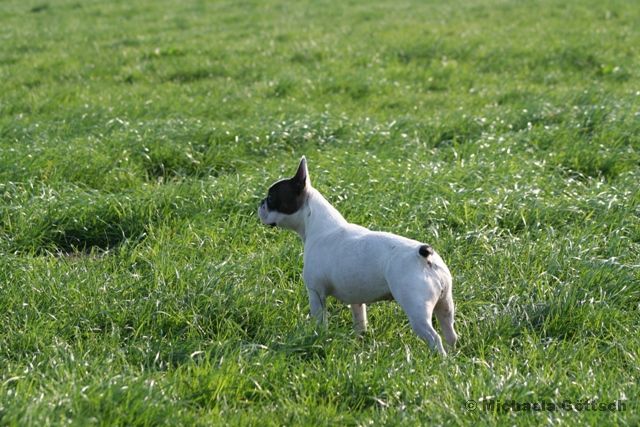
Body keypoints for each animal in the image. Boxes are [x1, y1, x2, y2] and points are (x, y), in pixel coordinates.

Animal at [258, 156, 458, 354]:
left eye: (271, 198)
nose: (260, 203)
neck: (318, 226)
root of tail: (425, 256)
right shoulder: (356, 301)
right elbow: (360, 322)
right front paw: (359, 343)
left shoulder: (315, 292)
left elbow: (320, 321)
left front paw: (317, 337)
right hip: (446, 305)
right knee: (451, 334)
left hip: (417, 309)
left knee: (435, 338)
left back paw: (438, 358)